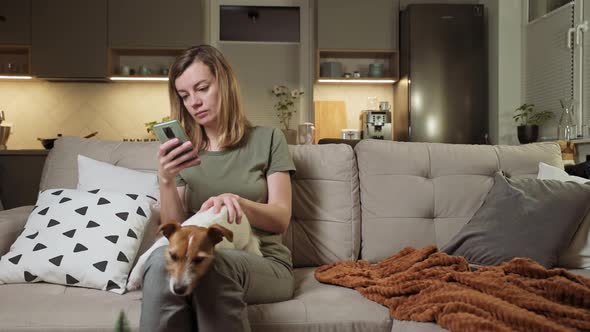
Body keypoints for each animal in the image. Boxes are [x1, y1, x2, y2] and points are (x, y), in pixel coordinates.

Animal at [127, 205, 262, 296]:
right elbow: (143, 256)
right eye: (173, 256)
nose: (179, 290)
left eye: (199, 260)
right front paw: (134, 279)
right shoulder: (162, 243)